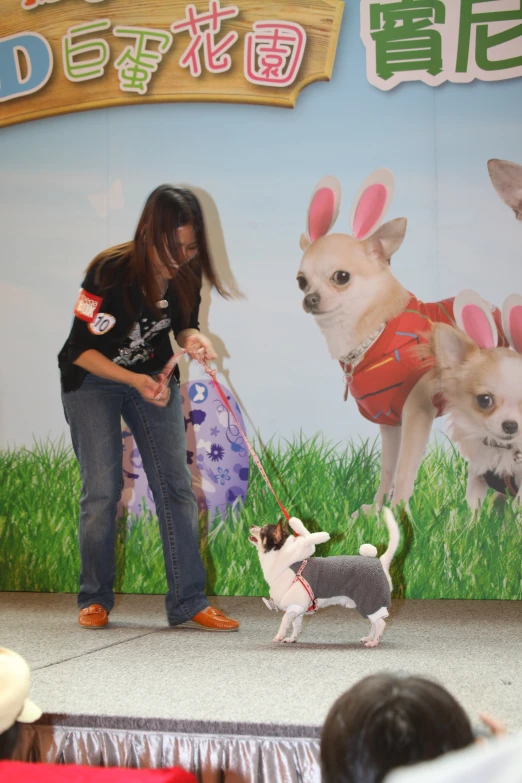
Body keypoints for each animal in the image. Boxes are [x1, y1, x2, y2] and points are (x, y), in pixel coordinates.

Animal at [248, 508, 398, 648]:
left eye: (262, 530)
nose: (251, 525)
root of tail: (381, 562)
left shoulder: (294, 605)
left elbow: (284, 621)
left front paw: (279, 636)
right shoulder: (297, 609)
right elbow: (296, 626)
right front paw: (292, 639)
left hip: (370, 601)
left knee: (381, 624)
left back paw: (374, 642)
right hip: (366, 606)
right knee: (374, 623)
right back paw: (369, 638)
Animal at [296, 168, 504, 516]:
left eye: (341, 277)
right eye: (300, 281)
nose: (309, 299)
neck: (372, 334)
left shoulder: (417, 414)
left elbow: (405, 470)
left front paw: (399, 511)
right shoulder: (389, 422)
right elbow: (388, 469)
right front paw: (376, 511)